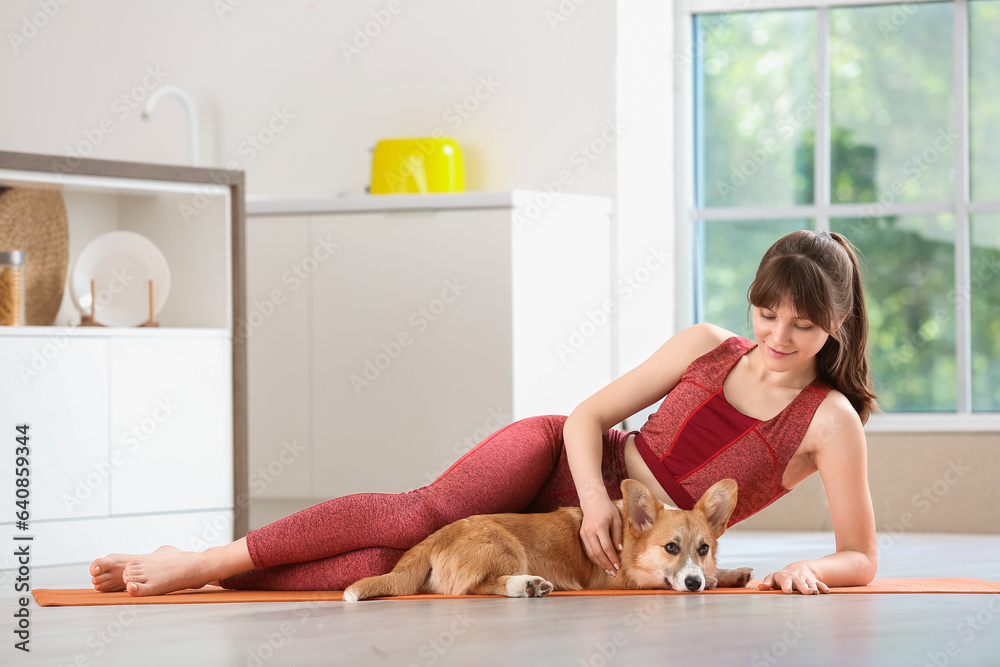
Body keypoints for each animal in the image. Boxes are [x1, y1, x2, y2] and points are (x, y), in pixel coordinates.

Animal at [344, 478, 752, 604]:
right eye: (671, 548)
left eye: (703, 549)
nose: (694, 584)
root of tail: (431, 540)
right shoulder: (627, 579)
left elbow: (717, 573)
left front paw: (730, 576)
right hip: (507, 546)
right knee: (476, 587)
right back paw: (527, 585)